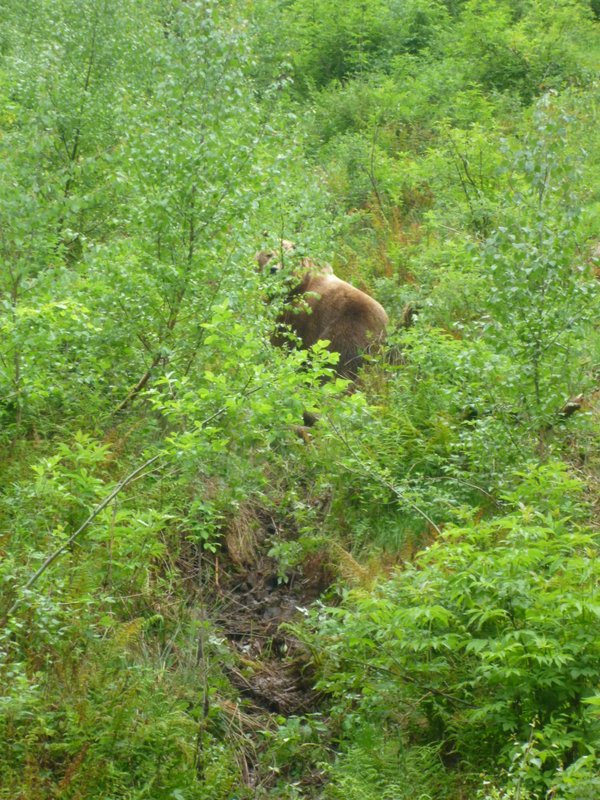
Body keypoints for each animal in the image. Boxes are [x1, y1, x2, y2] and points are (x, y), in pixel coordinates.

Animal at [256, 241, 390, 382]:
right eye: (269, 254)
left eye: (287, 258)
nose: (273, 269)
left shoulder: (296, 315)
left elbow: (282, 340)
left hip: (348, 329)